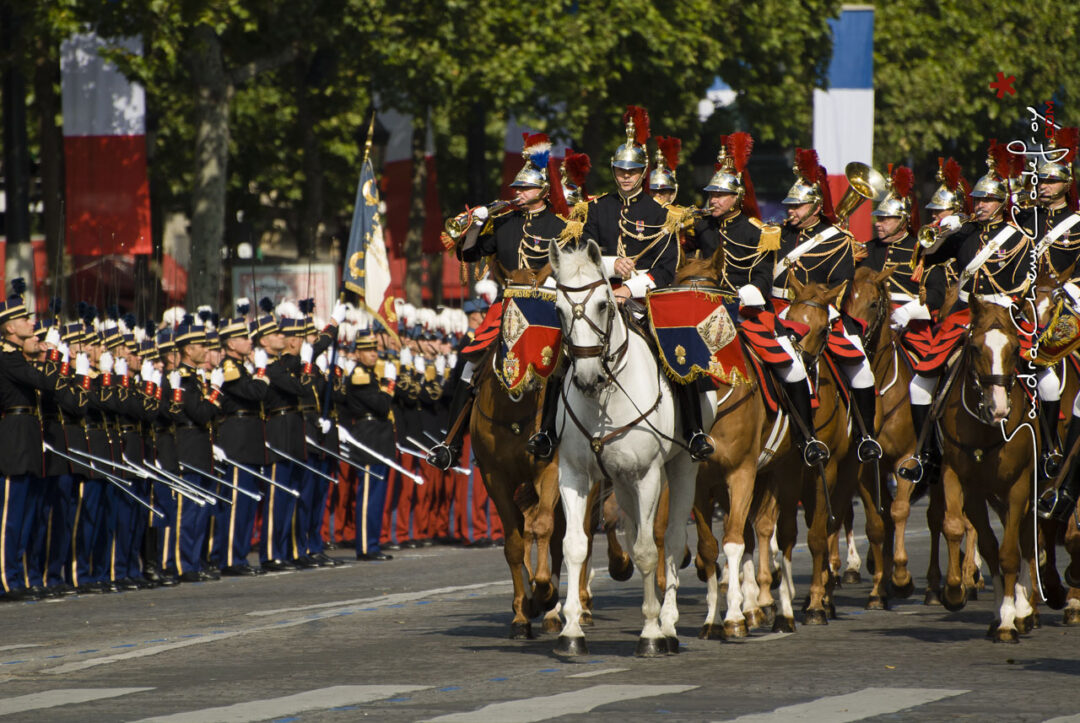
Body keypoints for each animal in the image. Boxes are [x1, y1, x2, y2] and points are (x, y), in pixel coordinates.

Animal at [548, 239, 699, 657]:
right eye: (558, 309)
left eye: (603, 304)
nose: (586, 378)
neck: (606, 397)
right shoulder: (574, 475)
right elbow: (575, 546)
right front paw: (570, 631)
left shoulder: (647, 475)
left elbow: (649, 550)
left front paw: (651, 633)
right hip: (620, 481)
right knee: (632, 533)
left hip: (681, 467)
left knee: (671, 539)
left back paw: (669, 625)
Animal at [941, 296, 1041, 639]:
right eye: (974, 348)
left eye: (1014, 348)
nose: (998, 408)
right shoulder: (963, 481)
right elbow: (970, 535)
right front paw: (956, 591)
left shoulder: (1019, 486)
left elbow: (1010, 553)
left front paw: (1010, 618)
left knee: (1025, 539)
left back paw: (1025, 610)